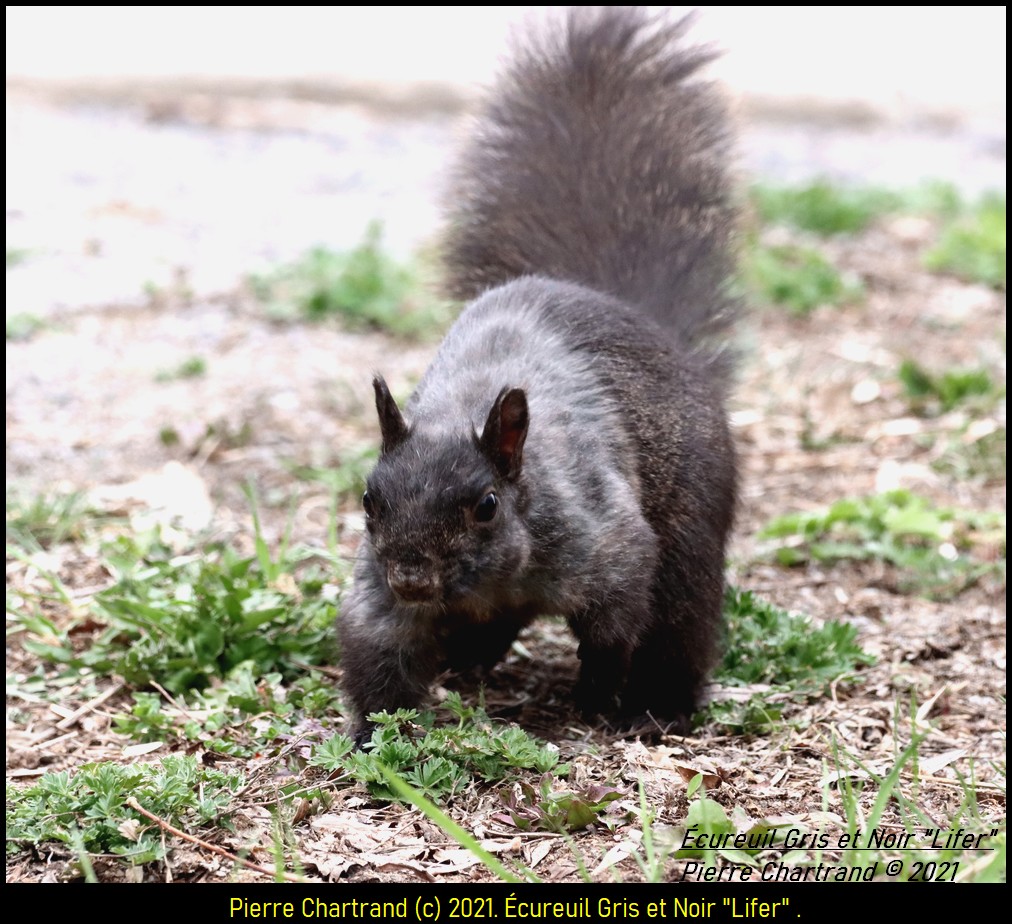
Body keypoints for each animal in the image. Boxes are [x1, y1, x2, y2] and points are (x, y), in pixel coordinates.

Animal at [335, 7, 740, 740]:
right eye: (368, 500)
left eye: (487, 506)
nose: (412, 579)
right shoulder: (377, 589)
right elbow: (378, 648)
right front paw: (375, 734)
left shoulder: (604, 540)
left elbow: (615, 625)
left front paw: (594, 696)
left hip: (692, 527)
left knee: (677, 623)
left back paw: (657, 707)